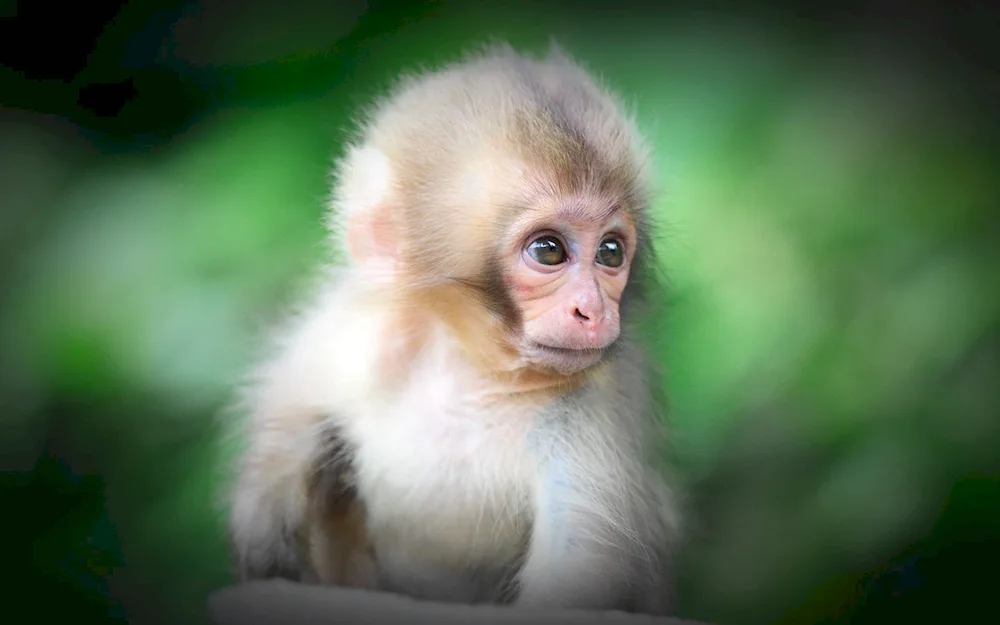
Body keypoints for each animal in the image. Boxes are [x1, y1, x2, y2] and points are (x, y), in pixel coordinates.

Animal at [226, 44, 680, 616]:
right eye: (548, 250)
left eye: (611, 252)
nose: (593, 310)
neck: (469, 371)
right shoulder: (358, 334)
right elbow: (292, 410)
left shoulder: (596, 405)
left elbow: (576, 585)